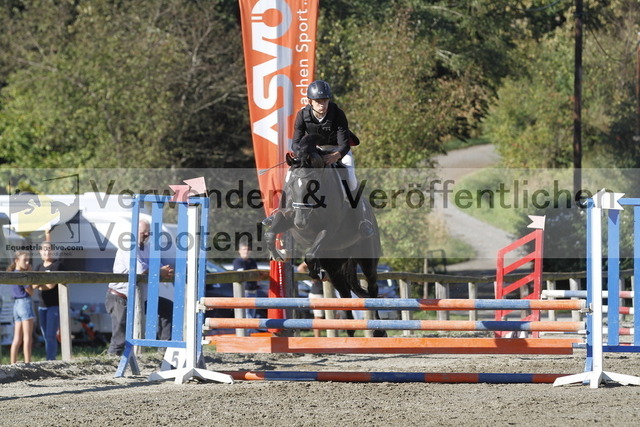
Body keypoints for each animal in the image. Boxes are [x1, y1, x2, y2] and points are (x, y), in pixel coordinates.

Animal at [264, 134, 385, 336]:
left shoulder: (329, 229)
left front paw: (313, 271)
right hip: (335, 264)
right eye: (291, 184)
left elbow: (311, 254)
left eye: (313, 185)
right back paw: (350, 329)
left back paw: (379, 330)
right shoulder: (287, 215)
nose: (301, 222)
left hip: (367, 257)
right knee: (344, 292)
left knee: (372, 287)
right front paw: (276, 254)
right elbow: (272, 231)